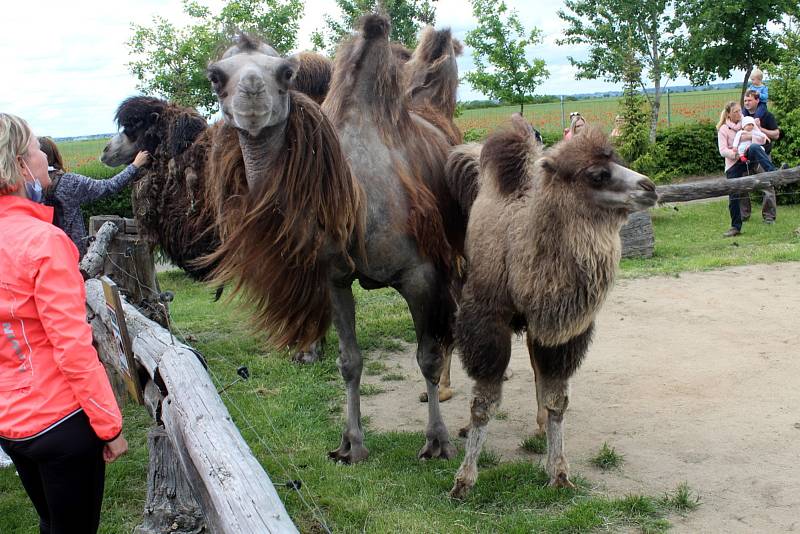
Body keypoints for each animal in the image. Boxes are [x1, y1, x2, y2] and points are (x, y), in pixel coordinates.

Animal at [203, 14, 466, 462]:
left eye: (286, 72)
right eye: (216, 75)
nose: (252, 96)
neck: (353, 196)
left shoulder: (420, 274)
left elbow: (426, 357)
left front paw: (437, 441)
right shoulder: (334, 279)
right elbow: (350, 362)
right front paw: (351, 444)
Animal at [446, 118, 660, 502]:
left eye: (617, 159)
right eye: (597, 174)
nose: (649, 187)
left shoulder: (561, 330)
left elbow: (557, 398)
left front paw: (559, 472)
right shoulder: (486, 318)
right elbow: (483, 403)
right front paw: (464, 480)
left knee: (535, 369)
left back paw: (539, 425)